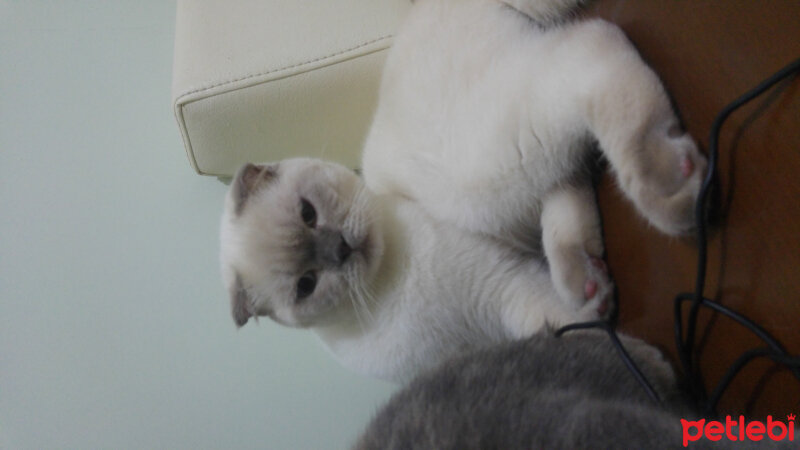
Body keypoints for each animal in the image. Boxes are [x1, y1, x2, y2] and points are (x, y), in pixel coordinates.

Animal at [219, 0, 708, 384]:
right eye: (306, 284)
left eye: (308, 213)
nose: (340, 248)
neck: (381, 295)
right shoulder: (506, 318)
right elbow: (578, 333)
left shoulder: (499, 284)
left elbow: (604, 345)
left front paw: (660, 379)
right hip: (512, 180)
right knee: (568, 190)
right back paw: (588, 280)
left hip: (488, 171)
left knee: (593, 43)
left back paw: (676, 192)